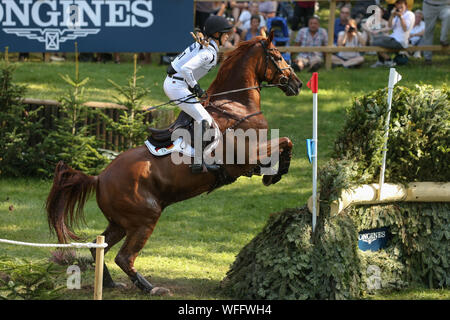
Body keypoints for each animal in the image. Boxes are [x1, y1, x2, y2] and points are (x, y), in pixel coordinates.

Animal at [45, 33, 302, 296]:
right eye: (278, 56)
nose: (298, 83)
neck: (237, 104)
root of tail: (99, 178)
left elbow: (282, 146)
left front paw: (270, 174)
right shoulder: (246, 157)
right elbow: (285, 141)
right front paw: (276, 174)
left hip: (120, 222)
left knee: (99, 247)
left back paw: (109, 284)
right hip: (145, 218)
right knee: (124, 257)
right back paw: (151, 288)